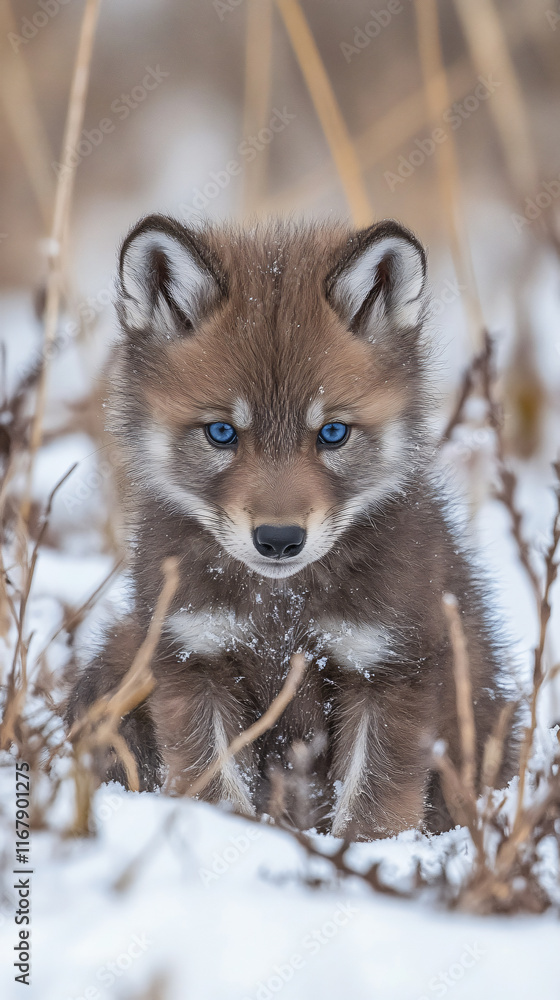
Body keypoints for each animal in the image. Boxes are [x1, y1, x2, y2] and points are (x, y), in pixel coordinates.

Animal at [67, 214, 515, 839]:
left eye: (332, 433)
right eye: (221, 432)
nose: (279, 540)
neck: (281, 616)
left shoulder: (388, 665)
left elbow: (372, 808)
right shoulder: (192, 655)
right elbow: (216, 790)